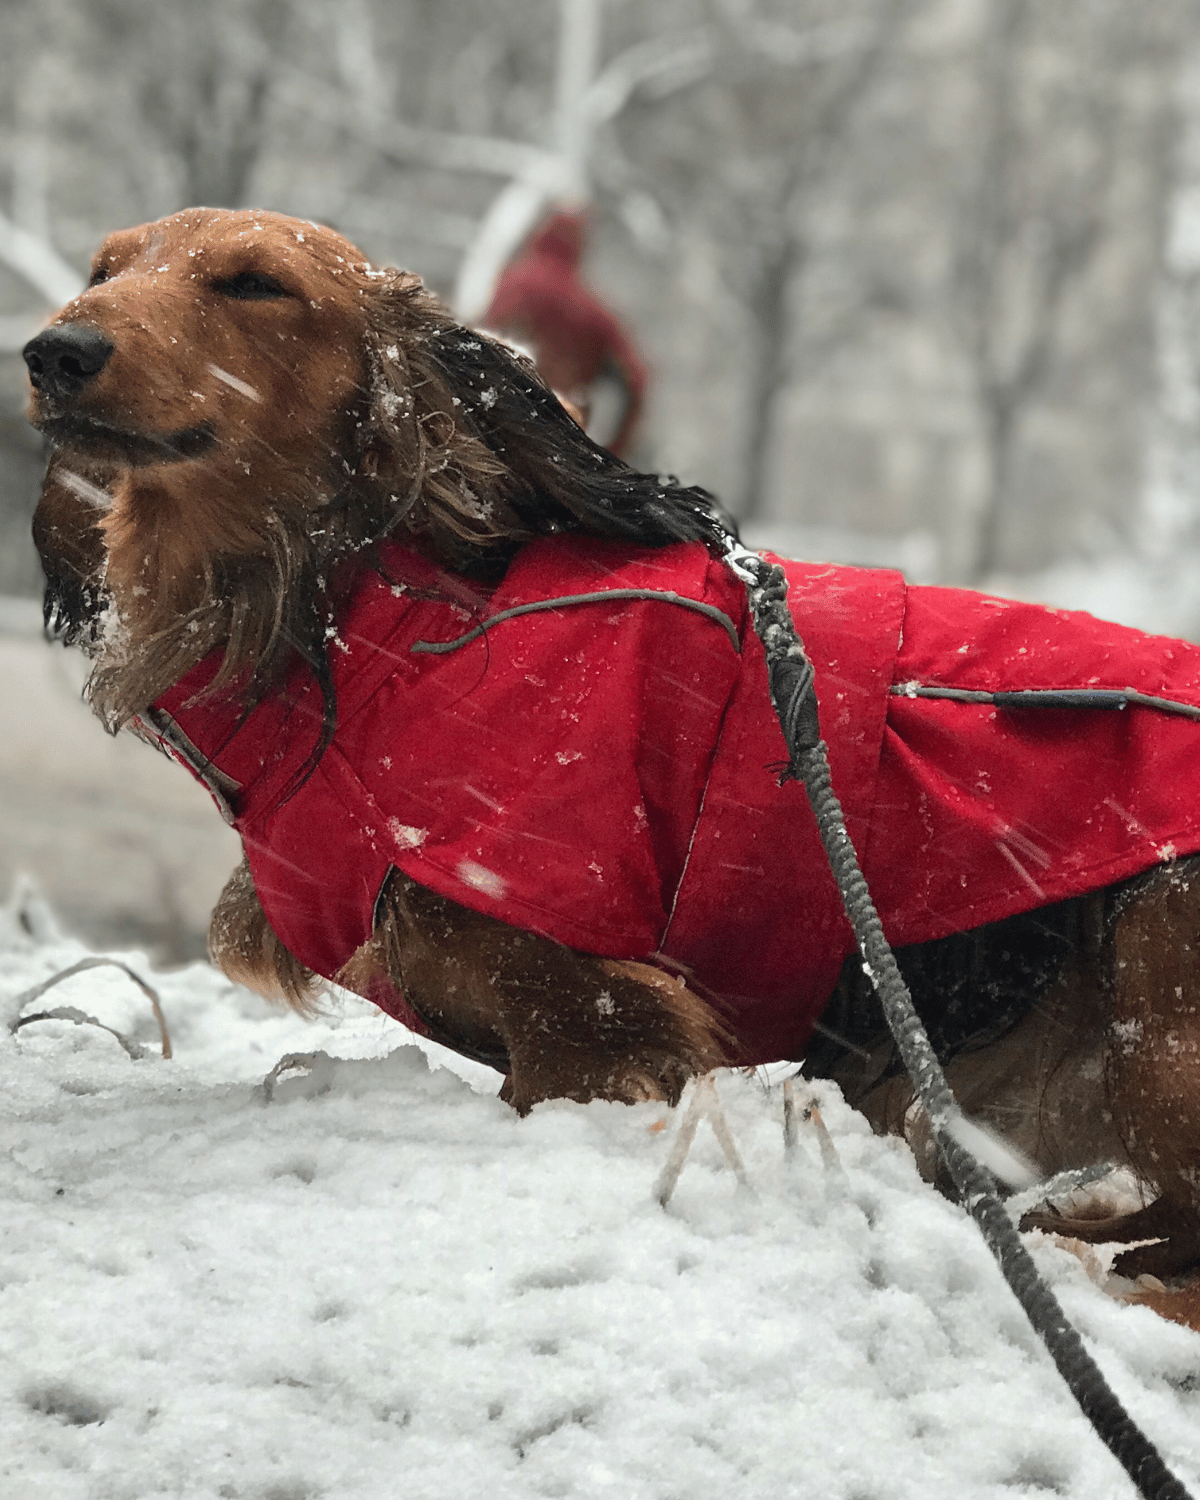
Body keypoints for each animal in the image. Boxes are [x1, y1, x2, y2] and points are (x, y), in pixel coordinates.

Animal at [21, 208, 1200, 1290]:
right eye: (104, 267)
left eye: (256, 283)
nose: (51, 352)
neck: (369, 634)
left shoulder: (590, 1015)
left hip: (1154, 970)